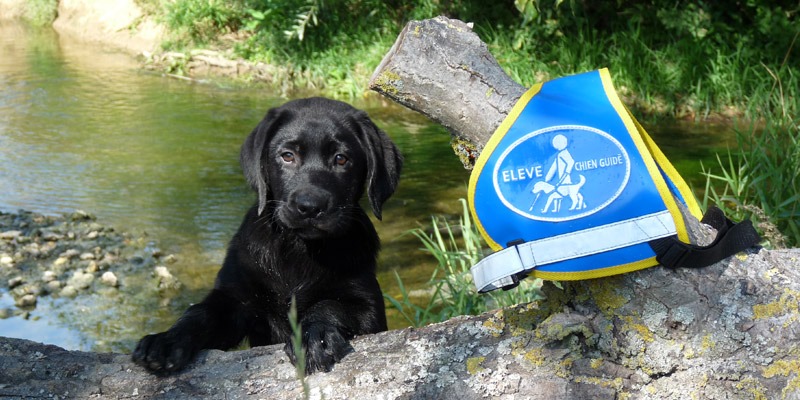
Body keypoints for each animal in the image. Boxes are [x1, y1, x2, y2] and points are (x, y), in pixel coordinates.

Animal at [135, 97, 406, 376]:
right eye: (287, 156)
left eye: (341, 159)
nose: (310, 206)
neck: (298, 248)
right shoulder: (234, 298)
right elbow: (200, 313)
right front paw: (166, 340)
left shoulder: (369, 308)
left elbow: (331, 305)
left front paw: (312, 337)